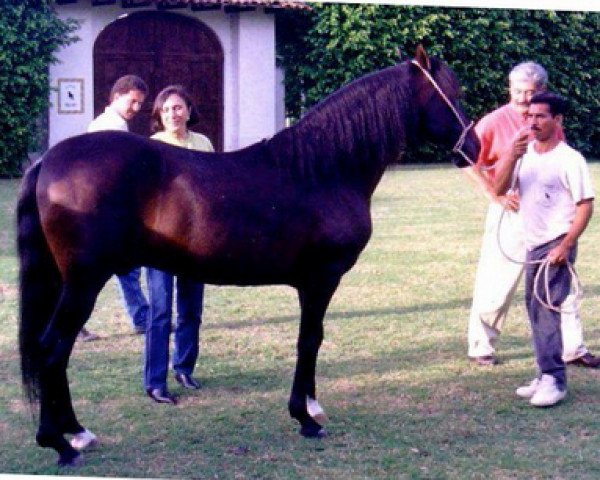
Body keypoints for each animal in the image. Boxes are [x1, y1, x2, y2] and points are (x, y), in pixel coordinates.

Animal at [17, 46, 478, 464]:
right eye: (452, 94)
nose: (472, 147)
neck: (323, 170)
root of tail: (49, 160)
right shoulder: (321, 279)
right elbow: (309, 340)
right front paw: (305, 419)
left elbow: (312, 340)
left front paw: (312, 407)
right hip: (83, 283)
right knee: (52, 349)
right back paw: (59, 442)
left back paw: (76, 431)